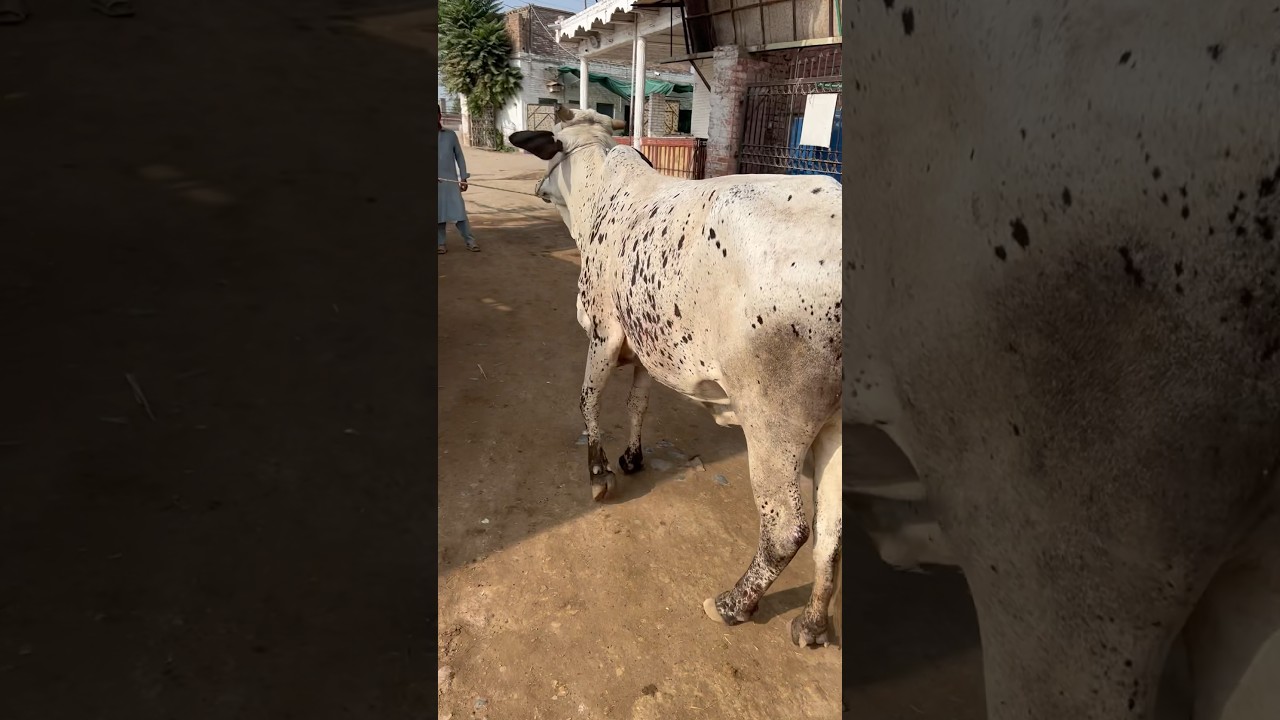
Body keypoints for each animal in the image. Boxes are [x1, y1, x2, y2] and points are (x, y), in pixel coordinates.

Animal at [510, 106, 843, 647]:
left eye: (551, 144)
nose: (537, 188)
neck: (602, 193)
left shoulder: (603, 332)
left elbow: (587, 400)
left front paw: (599, 472)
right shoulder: (647, 348)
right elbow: (637, 403)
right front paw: (632, 457)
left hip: (773, 426)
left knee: (787, 528)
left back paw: (734, 604)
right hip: (835, 428)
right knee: (831, 531)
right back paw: (812, 623)